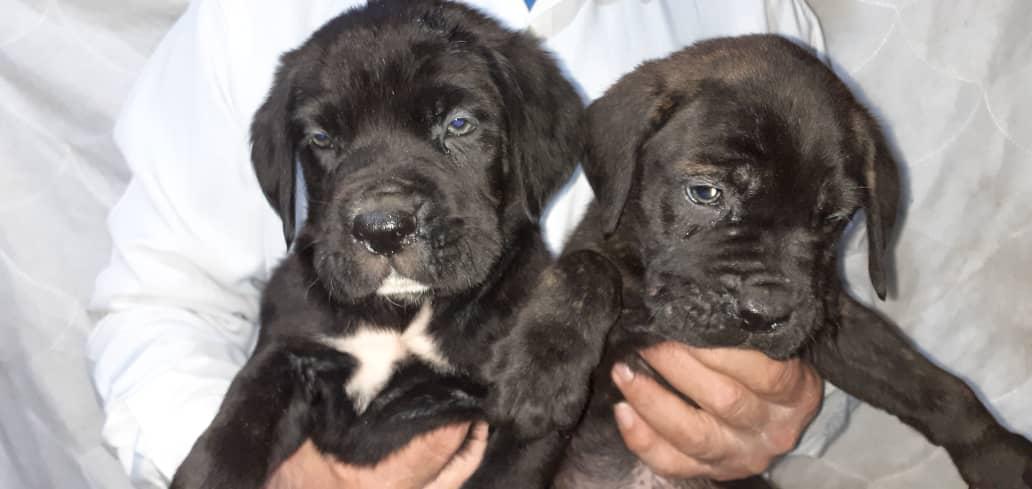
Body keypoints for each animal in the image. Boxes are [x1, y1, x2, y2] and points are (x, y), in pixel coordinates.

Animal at [541, 35, 1032, 488]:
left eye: (833, 218)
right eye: (705, 192)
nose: (765, 314)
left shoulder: (830, 319)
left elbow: (930, 383)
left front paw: (1001, 460)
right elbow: (583, 279)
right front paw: (552, 366)